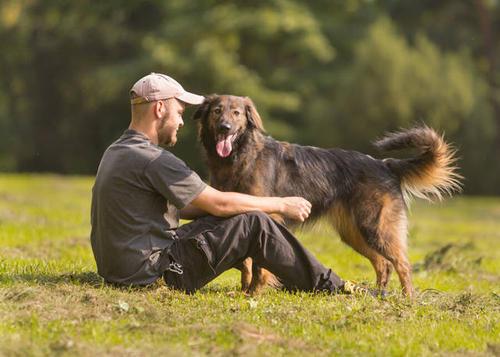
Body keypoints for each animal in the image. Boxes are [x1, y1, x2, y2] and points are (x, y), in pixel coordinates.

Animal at [193, 93, 462, 296]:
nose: (225, 128)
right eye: (217, 111)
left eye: (237, 113)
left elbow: (259, 264)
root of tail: (384, 164)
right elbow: (248, 262)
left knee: (402, 264)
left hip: (376, 228)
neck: (241, 157)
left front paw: (253, 293)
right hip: (354, 233)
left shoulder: (268, 214)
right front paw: (244, 291)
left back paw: (407, 298)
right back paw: (378, 294)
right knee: (383, 263)